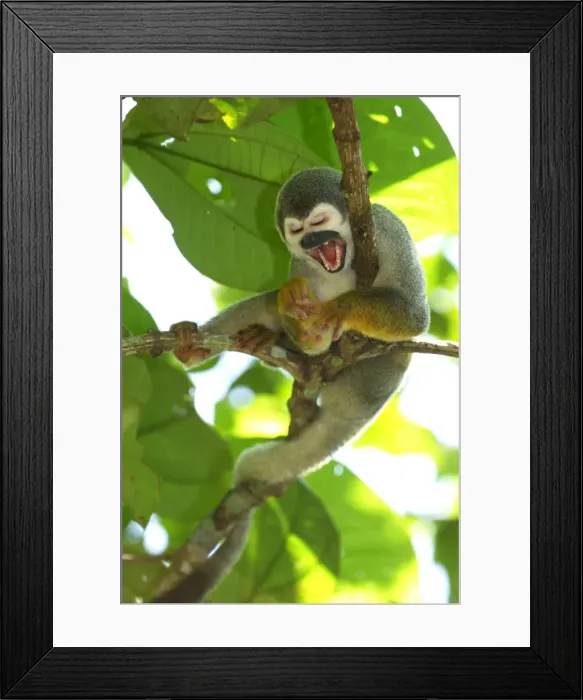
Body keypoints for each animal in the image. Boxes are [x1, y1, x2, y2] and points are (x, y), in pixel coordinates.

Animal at [156, 167, 429, 603]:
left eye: (319, 223)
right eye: (298, 231)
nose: (313, 243)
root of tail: (359, 408)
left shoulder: (387, 230)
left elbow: (414, 315)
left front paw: (340, 309)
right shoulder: (299, 264)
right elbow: (299, 314)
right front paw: (302, 328)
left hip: (373, 378)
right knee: (273, 305)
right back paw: (217, 346)